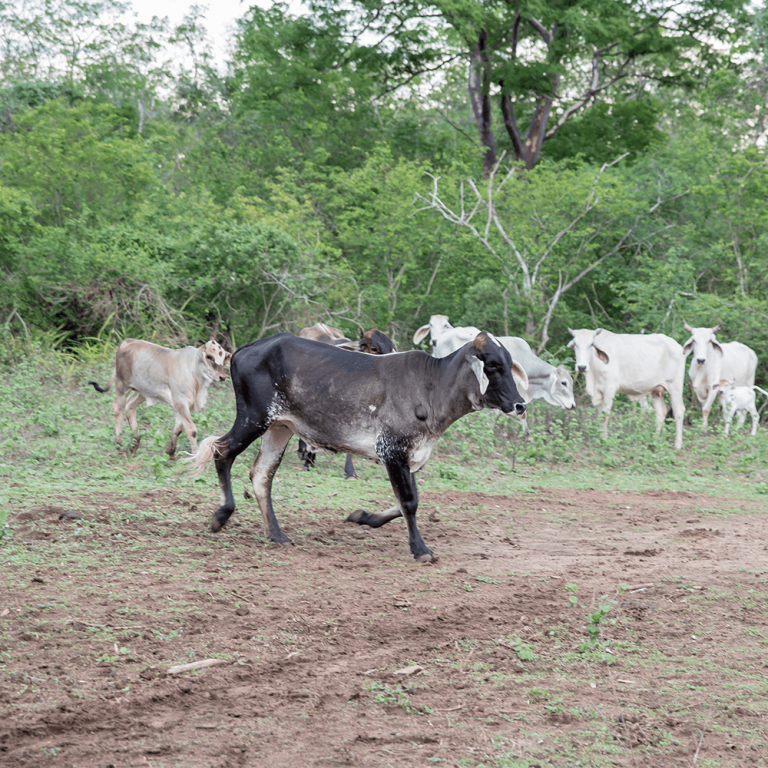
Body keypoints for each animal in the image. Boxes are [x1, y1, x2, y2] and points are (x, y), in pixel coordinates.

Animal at [88, 338, 230, 456]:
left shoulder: (184, 406)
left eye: (223, 358)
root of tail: (126, 342)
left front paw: (170, 452)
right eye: (209, 356)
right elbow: (191, 430)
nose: (223, 377)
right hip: (122, 386)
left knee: (130, 406)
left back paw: (135, 443)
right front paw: (195, 455)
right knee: (118, 408)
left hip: (141, 391)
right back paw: (120, 444)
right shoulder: (180, 401)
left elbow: (178, 428)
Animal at [190, 332, 528, 564]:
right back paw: (221, 516)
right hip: (254, 418)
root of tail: (250, 347)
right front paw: (420, 550)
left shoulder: (408, 454)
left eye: (510, 364)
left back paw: (276, 534)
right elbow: (409, 502)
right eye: (493, 365)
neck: (433, 385)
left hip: (280, 426)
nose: (520, 404)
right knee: (222, 451)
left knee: (261, 474)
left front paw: (363, 517)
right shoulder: (392, 450)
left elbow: (408, 500)